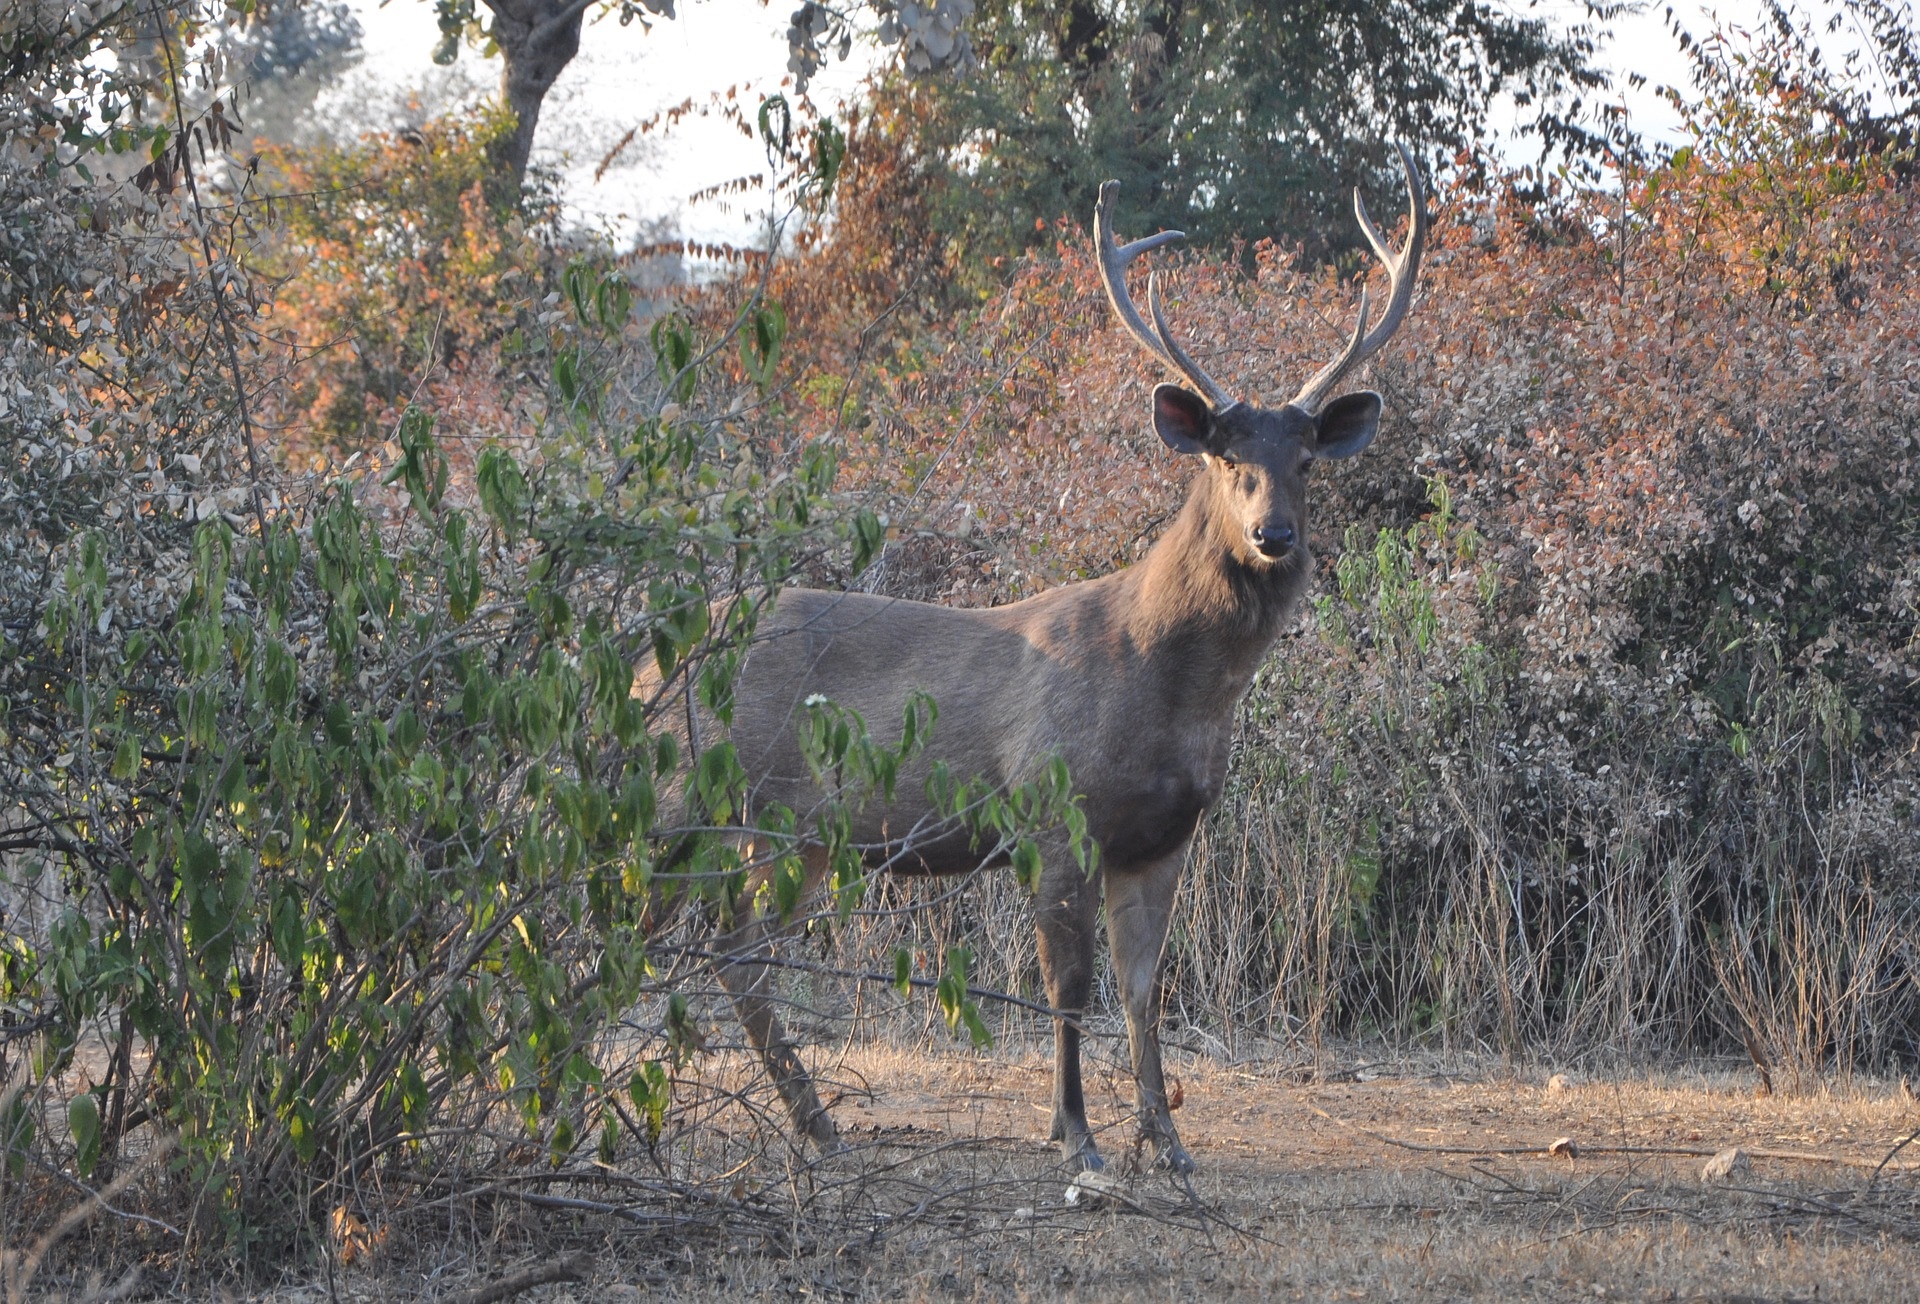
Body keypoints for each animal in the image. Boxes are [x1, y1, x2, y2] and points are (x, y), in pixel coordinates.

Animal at [683, 147, 1420, 1175]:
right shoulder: (1050, 807)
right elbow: (1069, 990)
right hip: (748, 806)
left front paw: (1166, 1140)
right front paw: (1076, 1137)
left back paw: (811, 1120)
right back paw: (803, 1119)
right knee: (722, 945)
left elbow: (1147, 990)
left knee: (716, 944)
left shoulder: (1166, 835)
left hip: (786, 831)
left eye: (1306, 460)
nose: (1273, 535)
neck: (1165, 690)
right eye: (1224, 457)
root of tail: (652, 664)